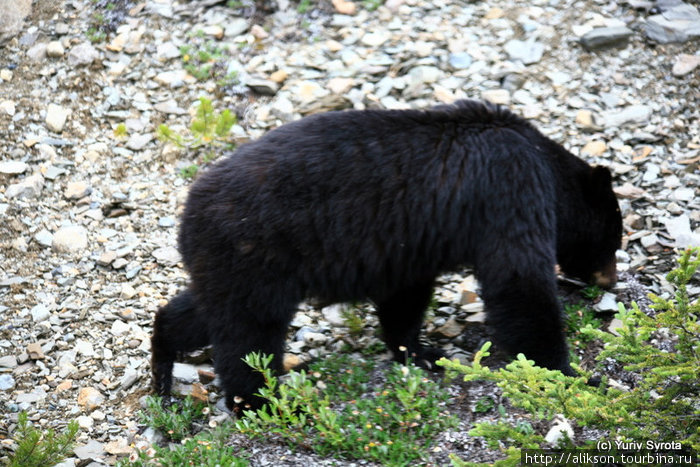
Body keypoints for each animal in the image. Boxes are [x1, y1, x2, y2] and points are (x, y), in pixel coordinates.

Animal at [153, 99, 624, 414]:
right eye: (614, 240)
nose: (610, 280)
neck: (544, 164)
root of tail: (189, 209)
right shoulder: (509, 186)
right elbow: (518, 279)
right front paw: (571, 373)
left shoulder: (409, 246)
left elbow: (404, 295)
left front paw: (420, 352)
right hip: (257, 255)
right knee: (248, 336)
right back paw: (263, 402)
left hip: (229, 265)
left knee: (207, 313)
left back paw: (162, 367)